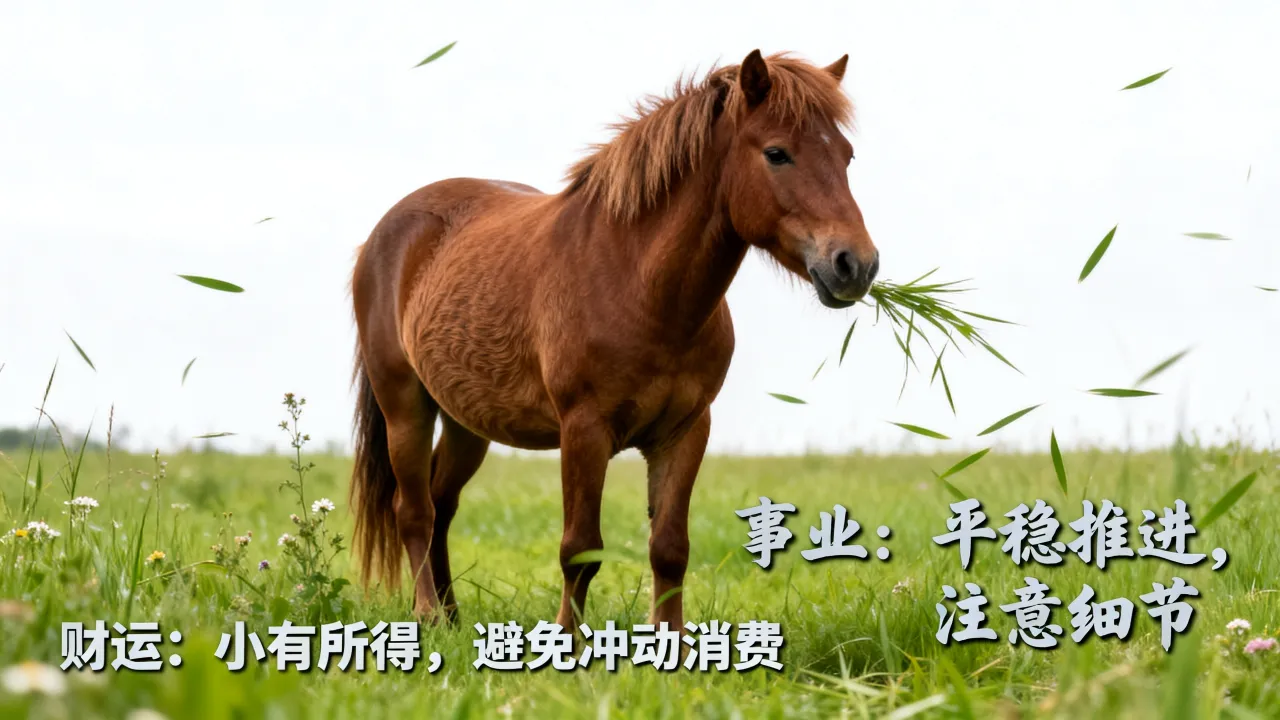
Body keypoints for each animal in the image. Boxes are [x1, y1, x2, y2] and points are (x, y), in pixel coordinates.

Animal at [348, 50, 879, 629]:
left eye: (848, 156)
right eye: (777, 154)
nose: (855, 265)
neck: (639, 286)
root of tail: (386, 232)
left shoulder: (686, 431)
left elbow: (669, 549)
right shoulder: (584, 430)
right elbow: (579, 549)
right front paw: (569, 641)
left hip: (467, 421)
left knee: (441, 505)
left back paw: (451, 619)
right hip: (405, 407)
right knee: (414, 510)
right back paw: (427, 617)